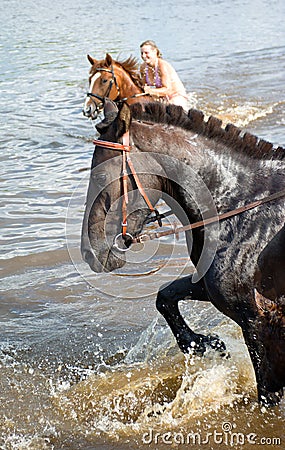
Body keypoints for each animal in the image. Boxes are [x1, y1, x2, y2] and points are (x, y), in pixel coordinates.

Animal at [81, 100, 284, 406]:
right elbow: (165, 296)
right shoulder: (210, 288)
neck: (243, 208)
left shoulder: (257, 324)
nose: (90, 251)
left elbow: (267, 396)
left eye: (102, 175)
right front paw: (203, 343)